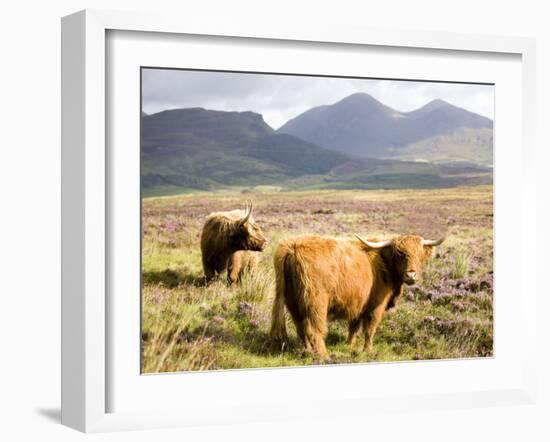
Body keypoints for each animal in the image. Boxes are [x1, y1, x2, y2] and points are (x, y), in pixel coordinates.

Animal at [270, 233, 446, 358]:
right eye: (399, 254)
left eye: (419, 255)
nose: (411, 275)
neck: (385, 263)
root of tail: (293, 247)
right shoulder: (376, 306)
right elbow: (370, 329)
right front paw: (368, 350)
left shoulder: (358, 304)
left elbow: (354, 327)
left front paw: (349, 345)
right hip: (316, 303)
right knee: (314, 329)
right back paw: (323, 355)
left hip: (293, 302)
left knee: (301, 328)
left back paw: (306, 351)